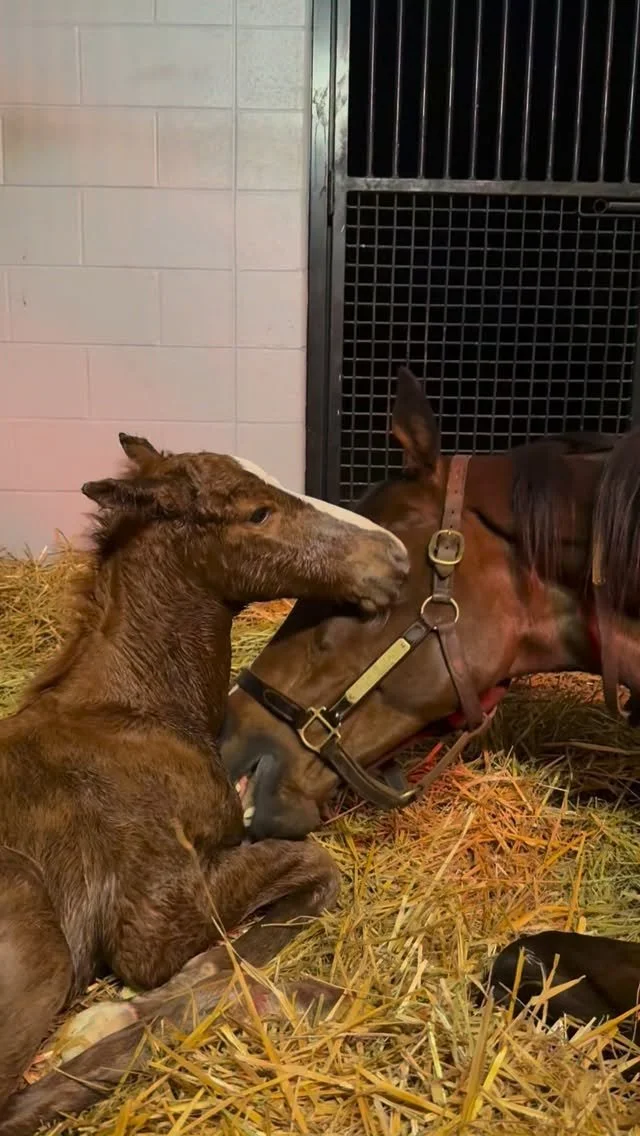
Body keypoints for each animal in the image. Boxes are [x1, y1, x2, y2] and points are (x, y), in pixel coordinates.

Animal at [0, 433, 409, 1136]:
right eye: (256, 513)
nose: (395, 555)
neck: (140, 711)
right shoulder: (153, 919)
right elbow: (317, 868)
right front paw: (119, 1011)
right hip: (38, 931)